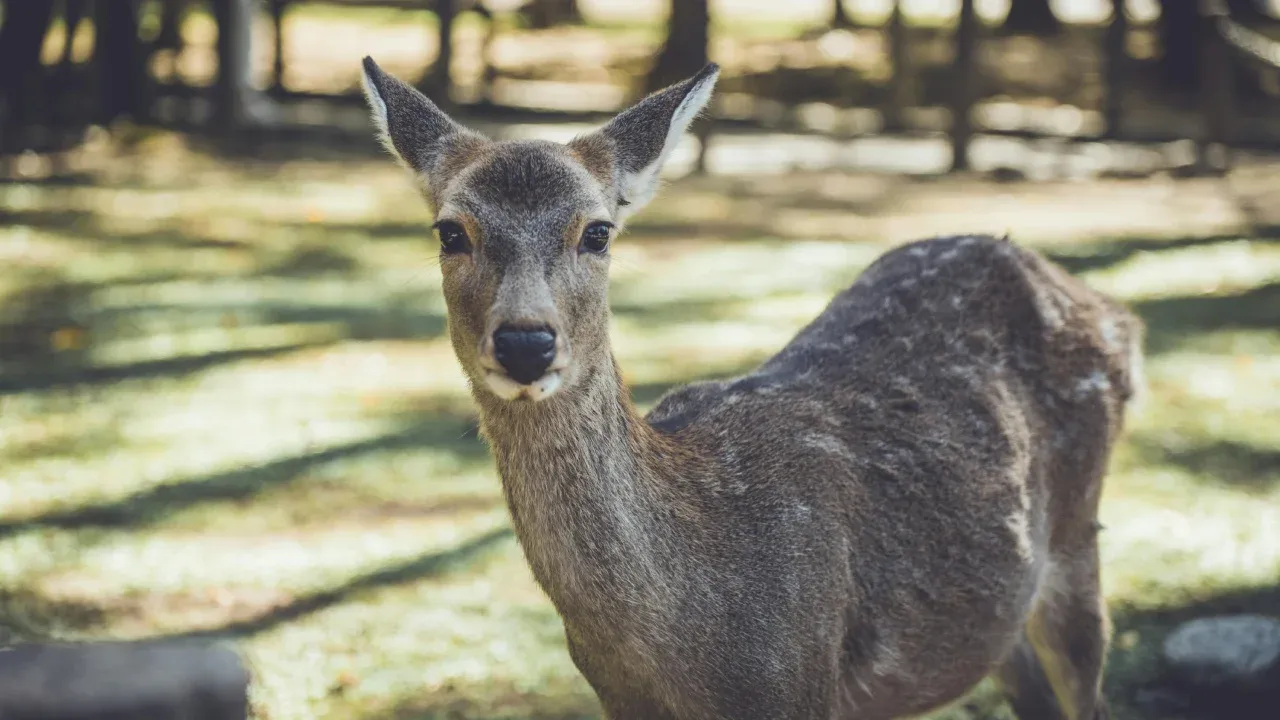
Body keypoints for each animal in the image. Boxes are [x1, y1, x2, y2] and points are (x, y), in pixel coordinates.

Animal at [359, 57, 1145, 720]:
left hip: (1078, 535)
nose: (526, 341)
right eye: (450, 231)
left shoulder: (802, 682)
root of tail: (1115, 313)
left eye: (598, 231)